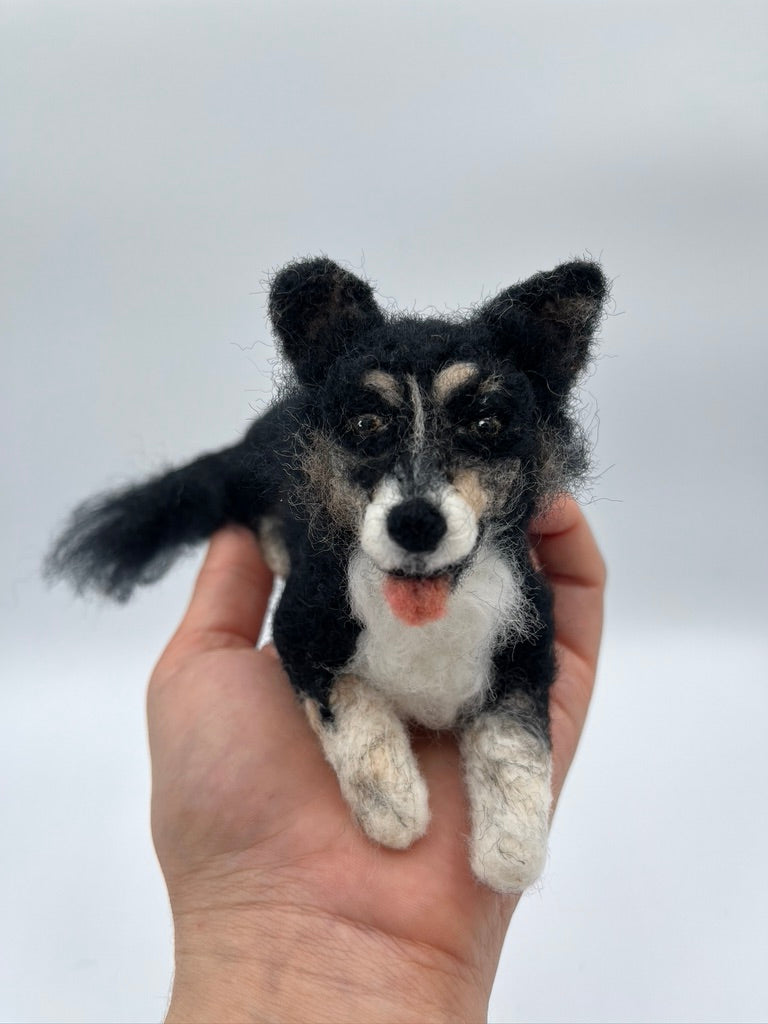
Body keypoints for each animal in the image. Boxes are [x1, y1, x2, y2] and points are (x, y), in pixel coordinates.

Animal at [49, 258, 614, 897]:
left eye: (487, 423)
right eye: (366, 422)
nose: (416, 522)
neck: (423, 611)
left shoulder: (528, 637)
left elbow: (515, 740)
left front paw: (511, 847)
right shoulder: (301, 628)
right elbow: (353, 709)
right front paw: (396, 807)